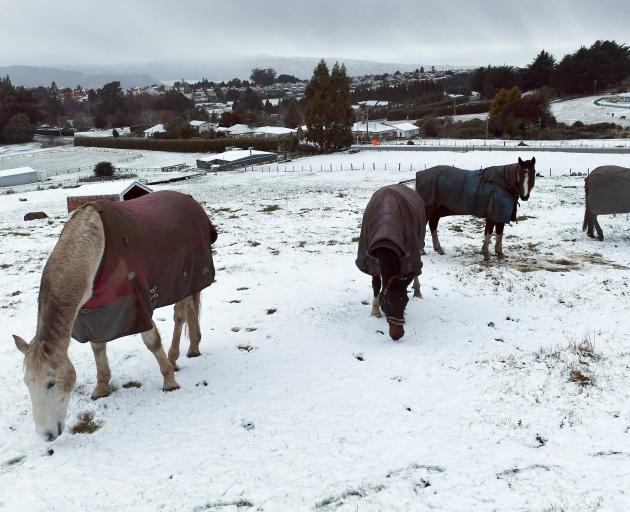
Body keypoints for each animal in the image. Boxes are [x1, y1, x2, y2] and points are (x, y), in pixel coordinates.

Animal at [13, 190, 218, 442]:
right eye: (26, 383)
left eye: (51, 383)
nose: (47, 435)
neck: (95, 250)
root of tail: (188, 199)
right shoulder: (94, 314)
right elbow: (98, 347)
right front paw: (101, 387)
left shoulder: (138, 305)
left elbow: (152, 341)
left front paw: (169, 381)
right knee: (189, 310)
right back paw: (192, 348)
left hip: (185, 279)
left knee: (181, 314)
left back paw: (176, 356)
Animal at [358, 184, 428, 340]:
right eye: (385, 302)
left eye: (405, 301)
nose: (398, 335)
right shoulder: (371, 259)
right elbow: (376, 285)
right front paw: (375, 311)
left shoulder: (409, 256)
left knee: (416, 272)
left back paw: (418, 291)